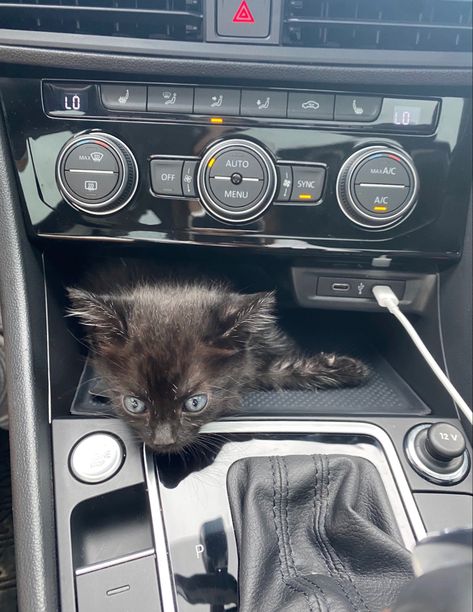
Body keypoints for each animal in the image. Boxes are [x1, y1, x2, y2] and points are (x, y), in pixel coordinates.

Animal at [67, 274, 368, 452]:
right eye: (134, 404)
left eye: (195, 403)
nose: (164, 441)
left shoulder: (251, 356)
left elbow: (280, 369)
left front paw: (346, 369)